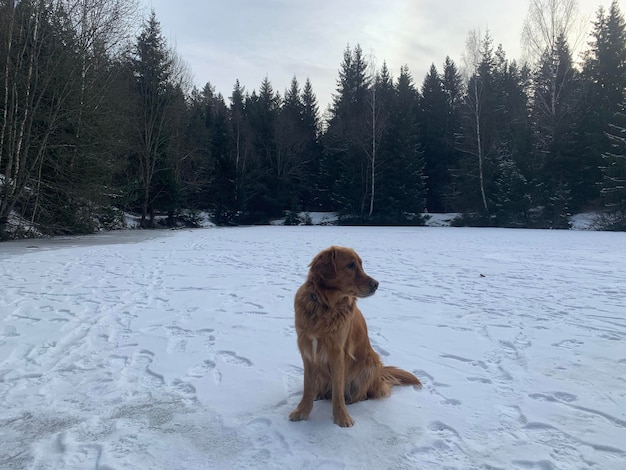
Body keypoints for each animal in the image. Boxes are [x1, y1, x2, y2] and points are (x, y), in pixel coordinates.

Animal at [288, 248, 420, 428]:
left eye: (360, 265)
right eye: (350, 265)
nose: (376, 284)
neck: (325, 306)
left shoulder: (337, 353)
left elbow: (338, 390)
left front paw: (342, 417)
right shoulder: (307, 349)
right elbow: (308, 386)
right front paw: (302, 411)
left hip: (371, 363)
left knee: (362, 395)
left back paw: (350, 400)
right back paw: (319, 394)